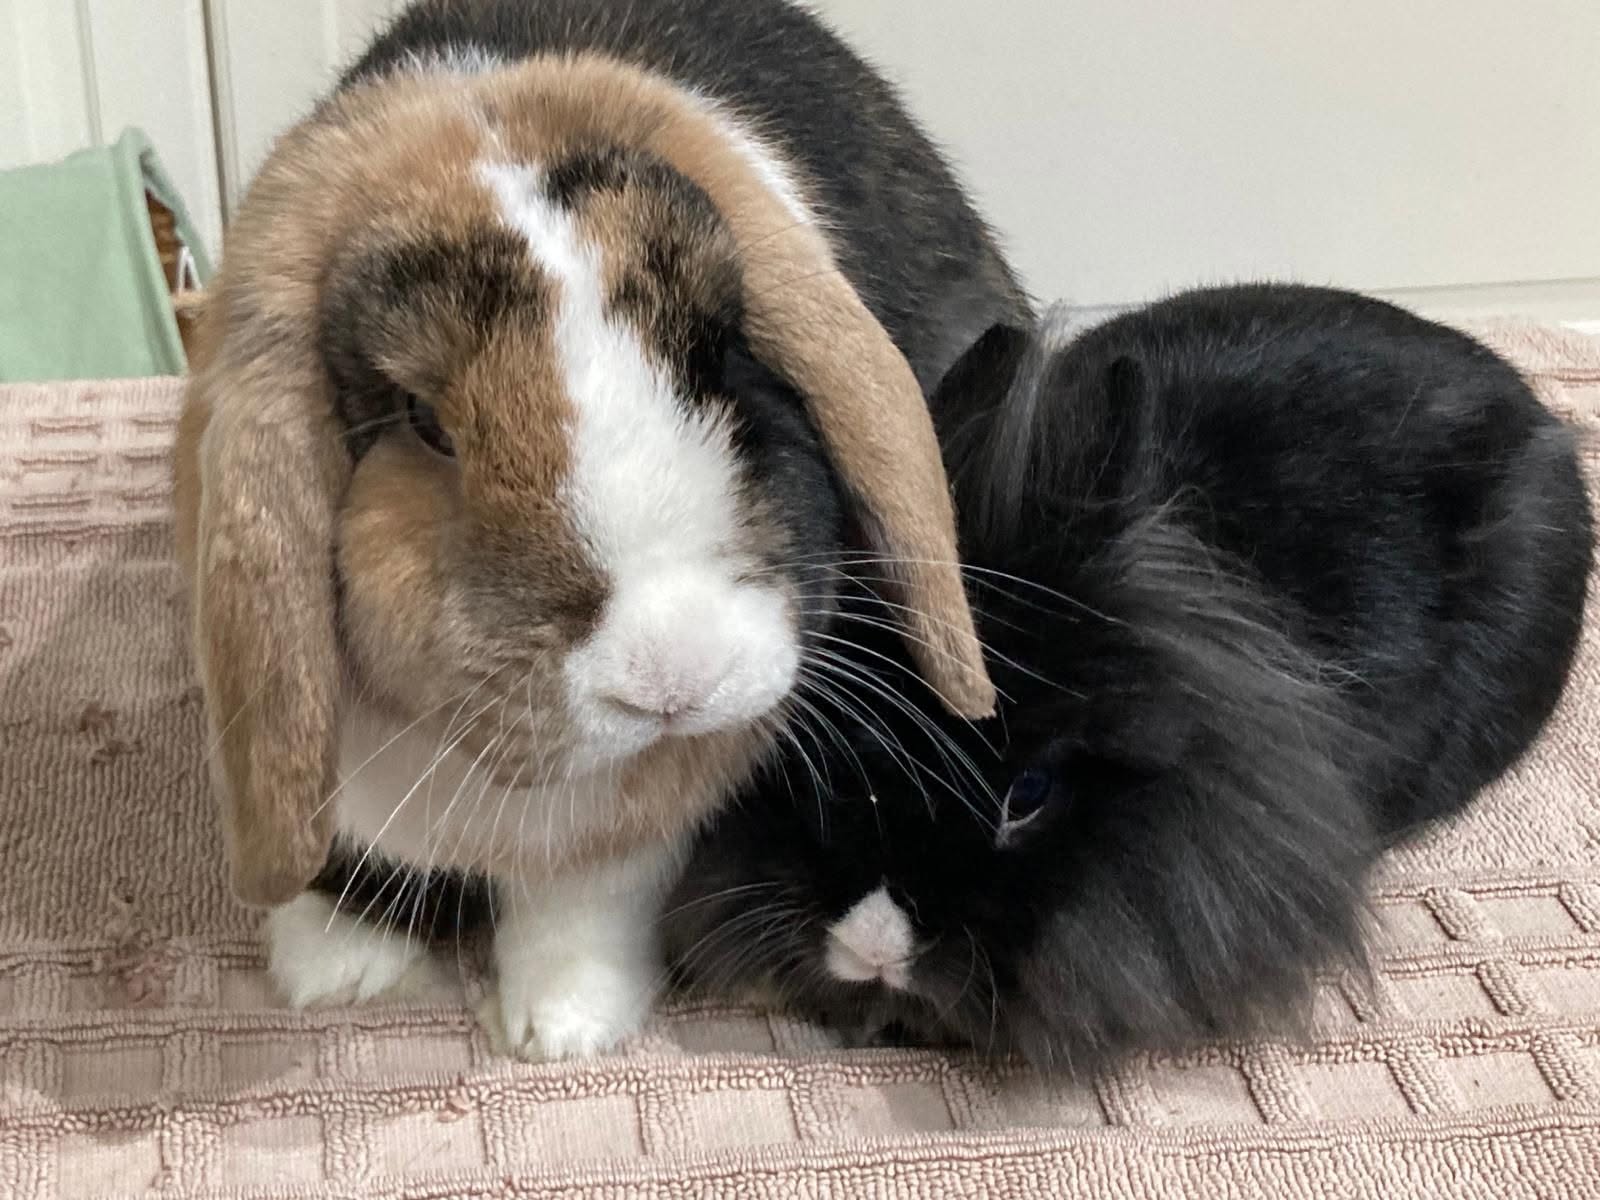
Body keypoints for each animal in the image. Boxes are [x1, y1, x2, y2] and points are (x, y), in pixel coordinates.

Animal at [172, 0, 1029, 1059]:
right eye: (423, 421)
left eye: (720, 358)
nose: (672, 676)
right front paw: (332, 970)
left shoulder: (645, 822)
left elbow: (586, 898)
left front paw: (562, 1027)